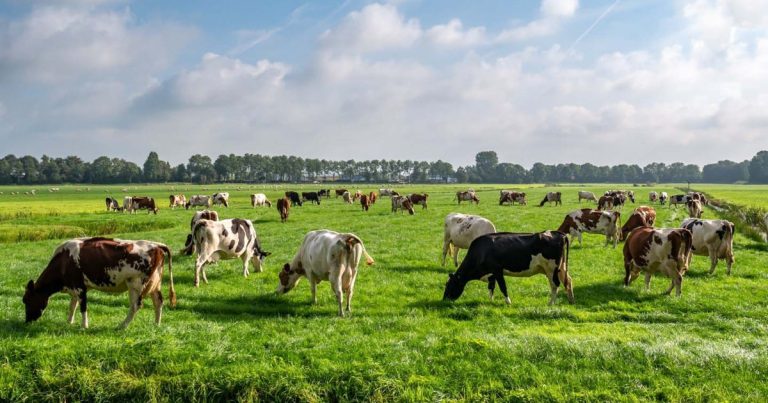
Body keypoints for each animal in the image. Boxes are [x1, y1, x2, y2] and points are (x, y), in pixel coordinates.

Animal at [22, 238, 177, 330]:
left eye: (26, 300)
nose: (27, 321)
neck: (64, 260)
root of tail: (157, 245)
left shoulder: (80, 287)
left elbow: (82, 307)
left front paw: (84, 326)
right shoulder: (74, 288)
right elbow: (72, 306)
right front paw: (69, 322)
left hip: (136, 283)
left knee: (135, 306)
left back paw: (122, 326)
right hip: (155, 283)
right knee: (158, 302)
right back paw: (156, 324)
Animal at [440, 232, 572, 304]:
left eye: (450, 285)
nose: (444, 299)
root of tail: (558, 233)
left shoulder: (498, 270)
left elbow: (503, 287)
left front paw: (508, 302)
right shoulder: (492, 274)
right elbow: (491, 287)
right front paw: (490, 300)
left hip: (551, 269)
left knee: (555, 285)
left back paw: (550, 303)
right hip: (558, 268)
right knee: (565, 282)